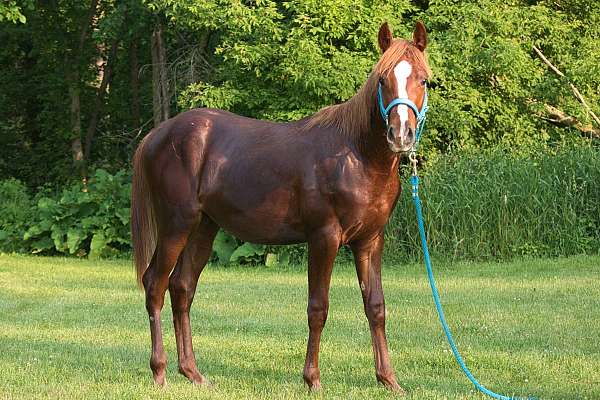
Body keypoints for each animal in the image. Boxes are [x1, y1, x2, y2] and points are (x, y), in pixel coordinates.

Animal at [131, 21, 432, 390]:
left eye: (423, 80)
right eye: (382, 80)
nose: (400, 134)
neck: (356, 155)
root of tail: (157, 135)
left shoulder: (370, 241)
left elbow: (376, 307)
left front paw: (388, 379)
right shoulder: (324, 238)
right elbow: (318, 308)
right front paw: (312, 379)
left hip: (204, 227)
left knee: (182, 288)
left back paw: (193, 372)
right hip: (176, 226)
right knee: (155, 285)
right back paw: (159, 371)